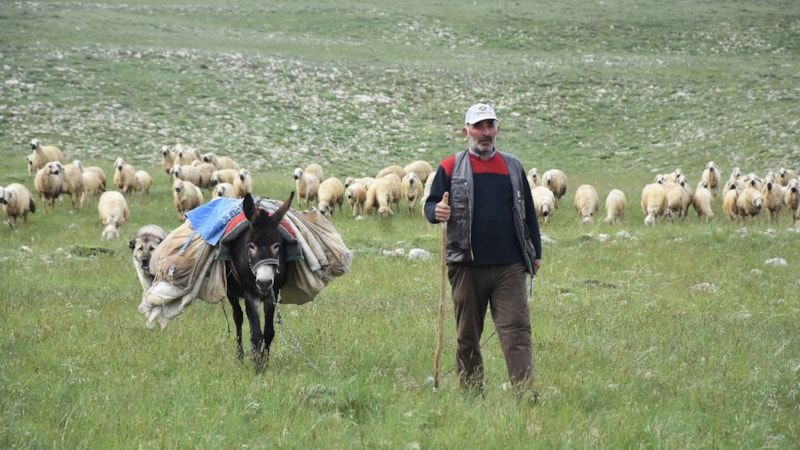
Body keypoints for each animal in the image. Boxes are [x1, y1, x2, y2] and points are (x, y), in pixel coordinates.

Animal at [225, 191, 294, 373]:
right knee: (238, 317)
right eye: (251, 246)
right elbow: (256, 335)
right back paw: (240, 356)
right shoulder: (251, 295)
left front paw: (265, 363)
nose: (263, 282)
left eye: (277, 245)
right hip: (231, 292)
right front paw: (258, 368)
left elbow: (268, 332)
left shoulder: (272, 294)